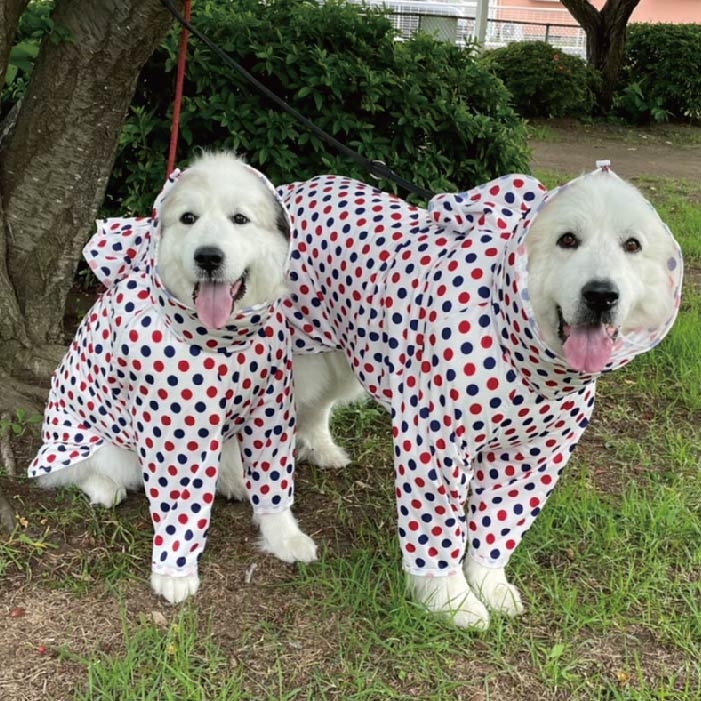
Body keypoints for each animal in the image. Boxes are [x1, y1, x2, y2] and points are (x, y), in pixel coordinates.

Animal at [30, 153, 318, 600]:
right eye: (188, 218)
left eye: (240, 218)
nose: (208, 257)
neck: (221, 341)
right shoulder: (176, 433)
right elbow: (179, 510)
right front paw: (174, 573)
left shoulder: (269, 412)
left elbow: (274, 487)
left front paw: (285, 537)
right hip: (94, 447)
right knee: (71, 473)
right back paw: (103, 486)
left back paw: (233, 481)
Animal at [276, 164, 680, 628]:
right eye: (567, 240)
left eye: (632, 245)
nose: (601, 295)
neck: (524, 360)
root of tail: (296, 187)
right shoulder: (434, 442)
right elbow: (438, 530)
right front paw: (450, 600)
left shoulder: (532, 458)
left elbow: (497, 528)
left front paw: (490, 586)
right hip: (293, 357)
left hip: (340, 354)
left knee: (316, 406)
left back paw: (322, 450)